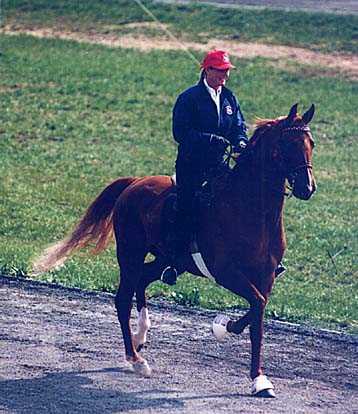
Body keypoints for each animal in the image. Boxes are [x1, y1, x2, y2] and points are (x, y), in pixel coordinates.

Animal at [32, 102, 314, 398]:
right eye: (288, 145)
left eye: (311, 144)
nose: (307, 188)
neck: (249, 211)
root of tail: (134, 183)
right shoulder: (225, 272)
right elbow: (257, 305)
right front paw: (223, 330)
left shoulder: (266, 276)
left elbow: (257, 313)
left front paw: (257, 376)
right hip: (130, 254)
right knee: (123, 299)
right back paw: (136, 360)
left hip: (164, 259)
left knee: (142, 280)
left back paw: (141, 336)